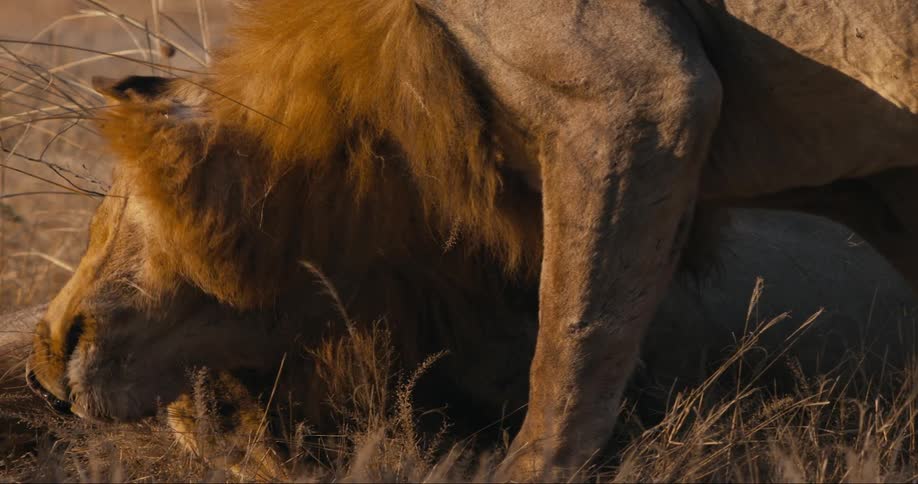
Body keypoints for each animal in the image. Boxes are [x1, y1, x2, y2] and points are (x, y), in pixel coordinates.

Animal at [26, 0, 918, 479]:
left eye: (112, 203)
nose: (39, 371)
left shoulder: (641, 91)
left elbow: (574, 336)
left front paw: (525, 468)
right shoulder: (880, 181)